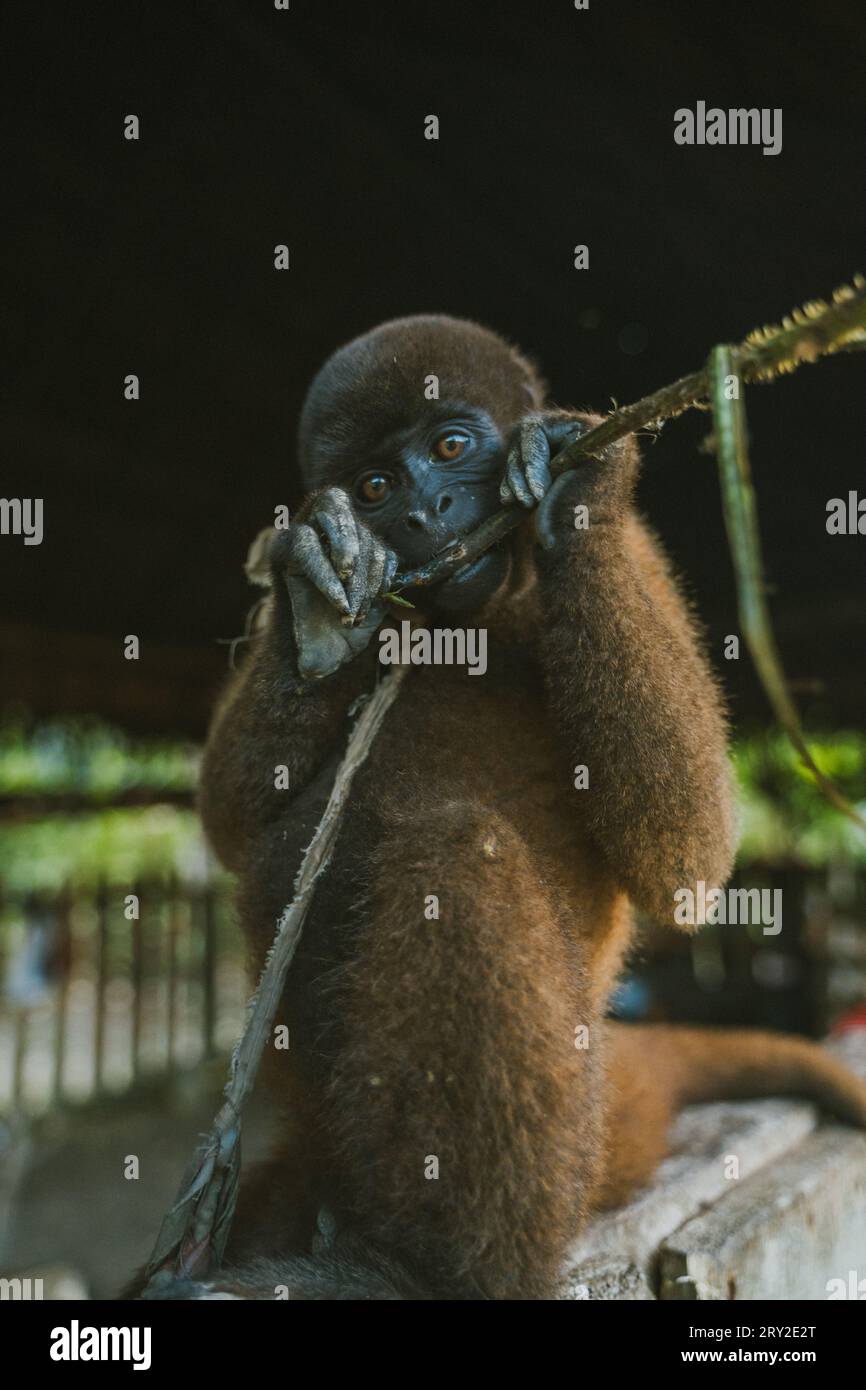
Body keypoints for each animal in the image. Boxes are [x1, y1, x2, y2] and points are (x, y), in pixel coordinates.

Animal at [132, 315, 866, 1301]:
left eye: (451, 447)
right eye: (375, 486)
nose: (422, 515)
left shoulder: (640, 562)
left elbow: (690, 861)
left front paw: (580, 492)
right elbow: (228, 819)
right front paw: (317, 602)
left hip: (582, 1132)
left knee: (459, 852)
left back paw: (430, 1274)